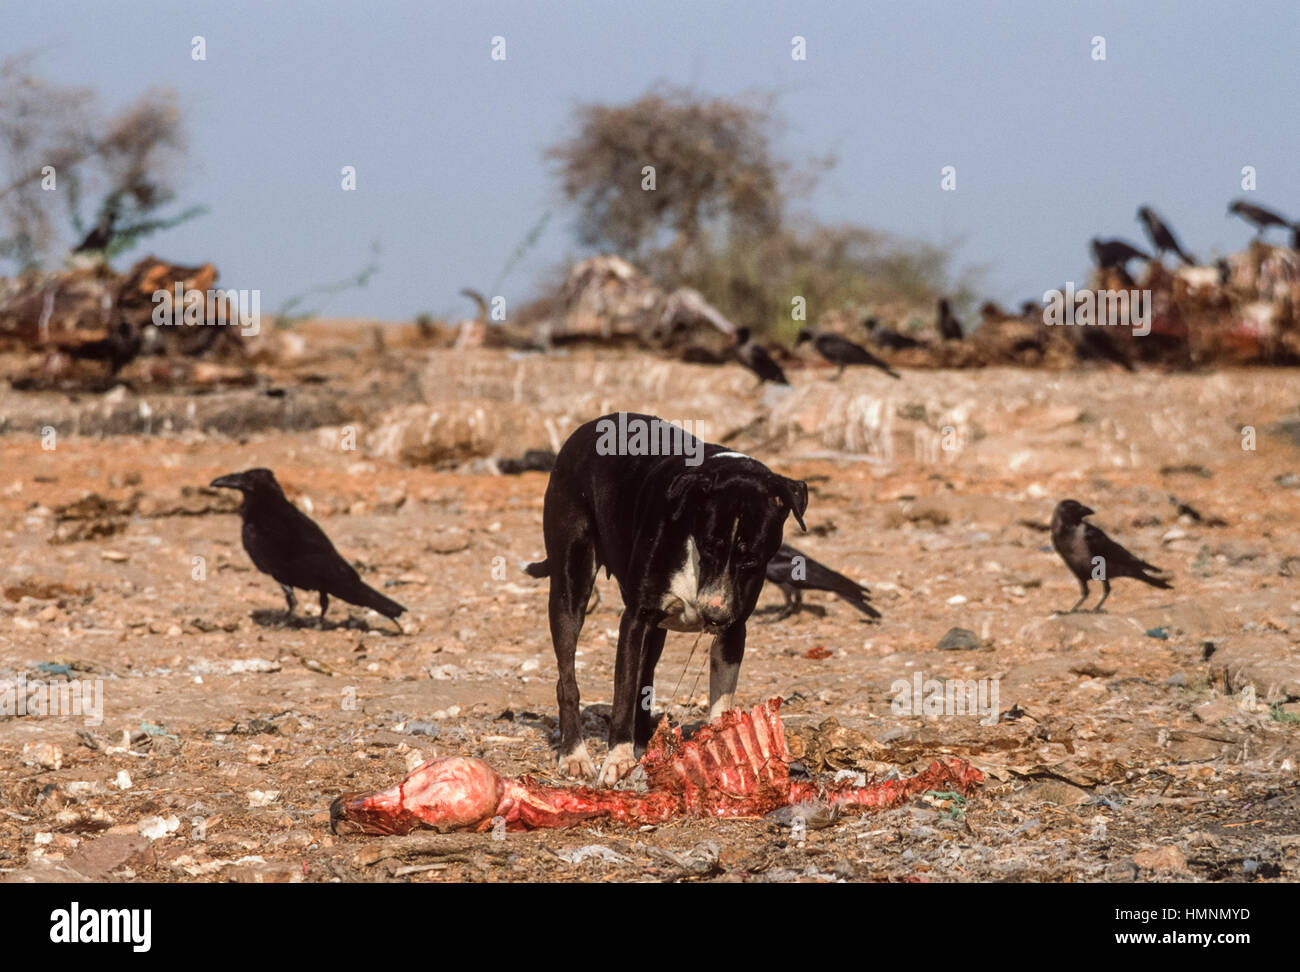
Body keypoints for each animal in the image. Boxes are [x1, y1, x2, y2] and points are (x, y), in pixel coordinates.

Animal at [522, 413, 806, 784]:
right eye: (709, 546)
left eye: (752, 561)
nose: (713, 615)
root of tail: (590, 425)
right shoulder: (636, 619)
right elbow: (624, 692)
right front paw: (617, 759)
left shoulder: (734, 629)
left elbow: (720, 700)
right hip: (571, 584)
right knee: (567, 677)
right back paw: (575, 755)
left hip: (657, 631)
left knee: (647, 675)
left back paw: (644, 745)